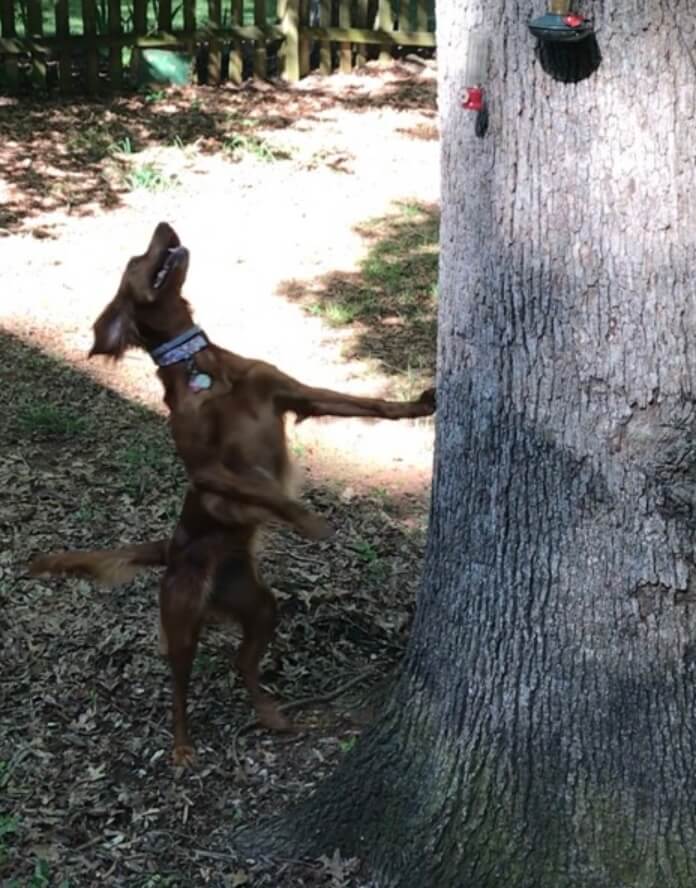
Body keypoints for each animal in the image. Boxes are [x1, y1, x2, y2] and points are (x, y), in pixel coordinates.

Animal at [32, 222, 438, 764]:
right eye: (137, 258)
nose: (165, 224)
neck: (203, 370)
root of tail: (171, 549)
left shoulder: (295, 392)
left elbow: (363, 403)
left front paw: (418, 405)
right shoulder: (205, 472)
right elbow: (263, 489)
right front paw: (310, 521)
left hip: (260, 607)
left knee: (240, 664)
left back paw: (269, 714)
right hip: (181, 619)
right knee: (179, 685)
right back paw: (182, 746)